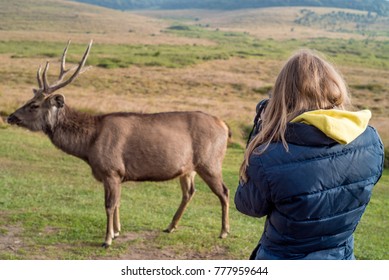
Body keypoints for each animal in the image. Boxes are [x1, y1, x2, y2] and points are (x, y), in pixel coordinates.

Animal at [7, 41, 229, 247]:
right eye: (29, 100)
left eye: (34, 105)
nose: (10, 117)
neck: (88, 146)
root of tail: (225, 126)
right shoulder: (116, 174)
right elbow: (118, 203)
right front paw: (117, 231)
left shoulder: (111, 169)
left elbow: (109, 205)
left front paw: (107, 239)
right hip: (188, 169)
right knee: (189, 192)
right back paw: (170, 226)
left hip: (210, 162)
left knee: (224, 191)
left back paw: (224, 232)